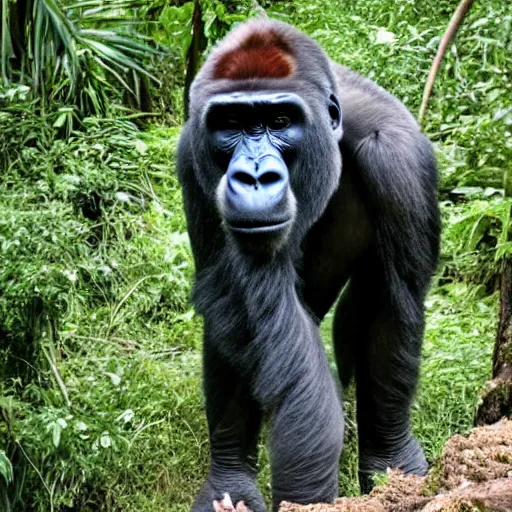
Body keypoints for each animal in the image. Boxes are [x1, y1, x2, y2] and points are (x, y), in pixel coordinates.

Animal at [176, 18, 440, 510]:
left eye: (280, 122)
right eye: (230, 125)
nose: (254, 176)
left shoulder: (397, 157)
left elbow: (387, 312)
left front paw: (391, 464)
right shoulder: (192, 154)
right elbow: (236, 310)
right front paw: (239, 481)